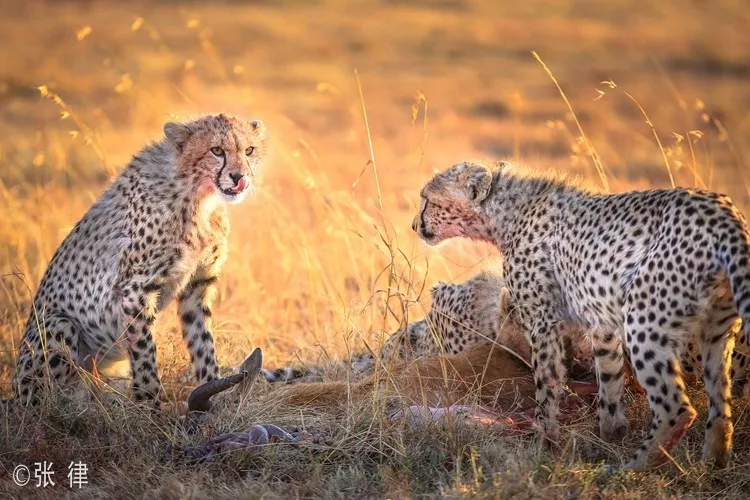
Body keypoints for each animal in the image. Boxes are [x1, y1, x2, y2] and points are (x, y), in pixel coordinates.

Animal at [13, 113, 268, 406]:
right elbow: (145, 356)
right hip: (58, 326)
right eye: (217, 151)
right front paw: (152, 408)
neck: (199, 196)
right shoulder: (134, 290)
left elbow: (203, 344)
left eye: (248, 150)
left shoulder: (197, 287)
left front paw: (213, 396)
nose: (239, 177)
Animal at [414, 161, 750, 472]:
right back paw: (713, 462)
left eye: (427, 199)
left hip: (644, 322)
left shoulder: (542, 321)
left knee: (677, 409)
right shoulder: (602, 324)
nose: (414, 225)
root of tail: (726, 213)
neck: (505, 211)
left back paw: (632, 468)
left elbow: (547, 382)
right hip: (715, 331)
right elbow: (609, 381)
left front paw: (544, 444)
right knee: (721, 405)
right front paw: (610, 434)